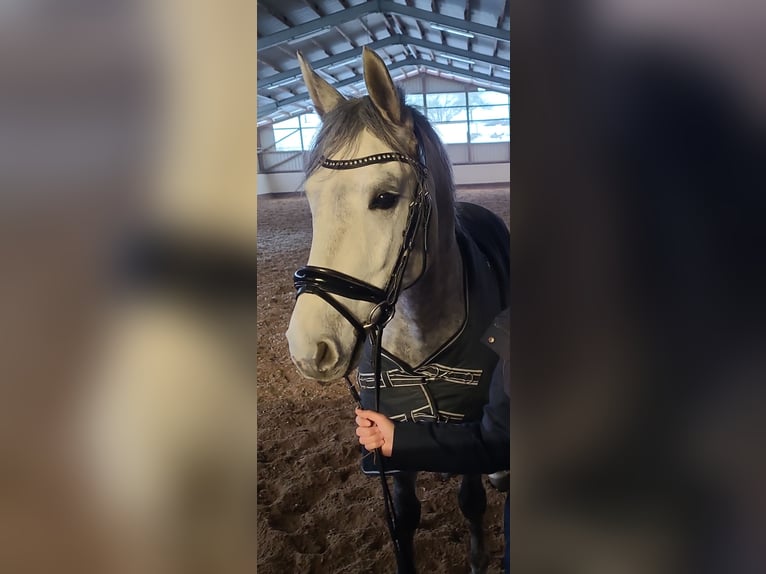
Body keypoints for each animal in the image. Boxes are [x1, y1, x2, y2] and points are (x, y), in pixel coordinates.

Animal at [286, 47, 510, 574]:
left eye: (385, 198)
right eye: (311, 198)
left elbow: (472, 499)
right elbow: (404, 517)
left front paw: (477, 558)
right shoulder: (391, 435)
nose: (309, 349)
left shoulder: (467, 423)